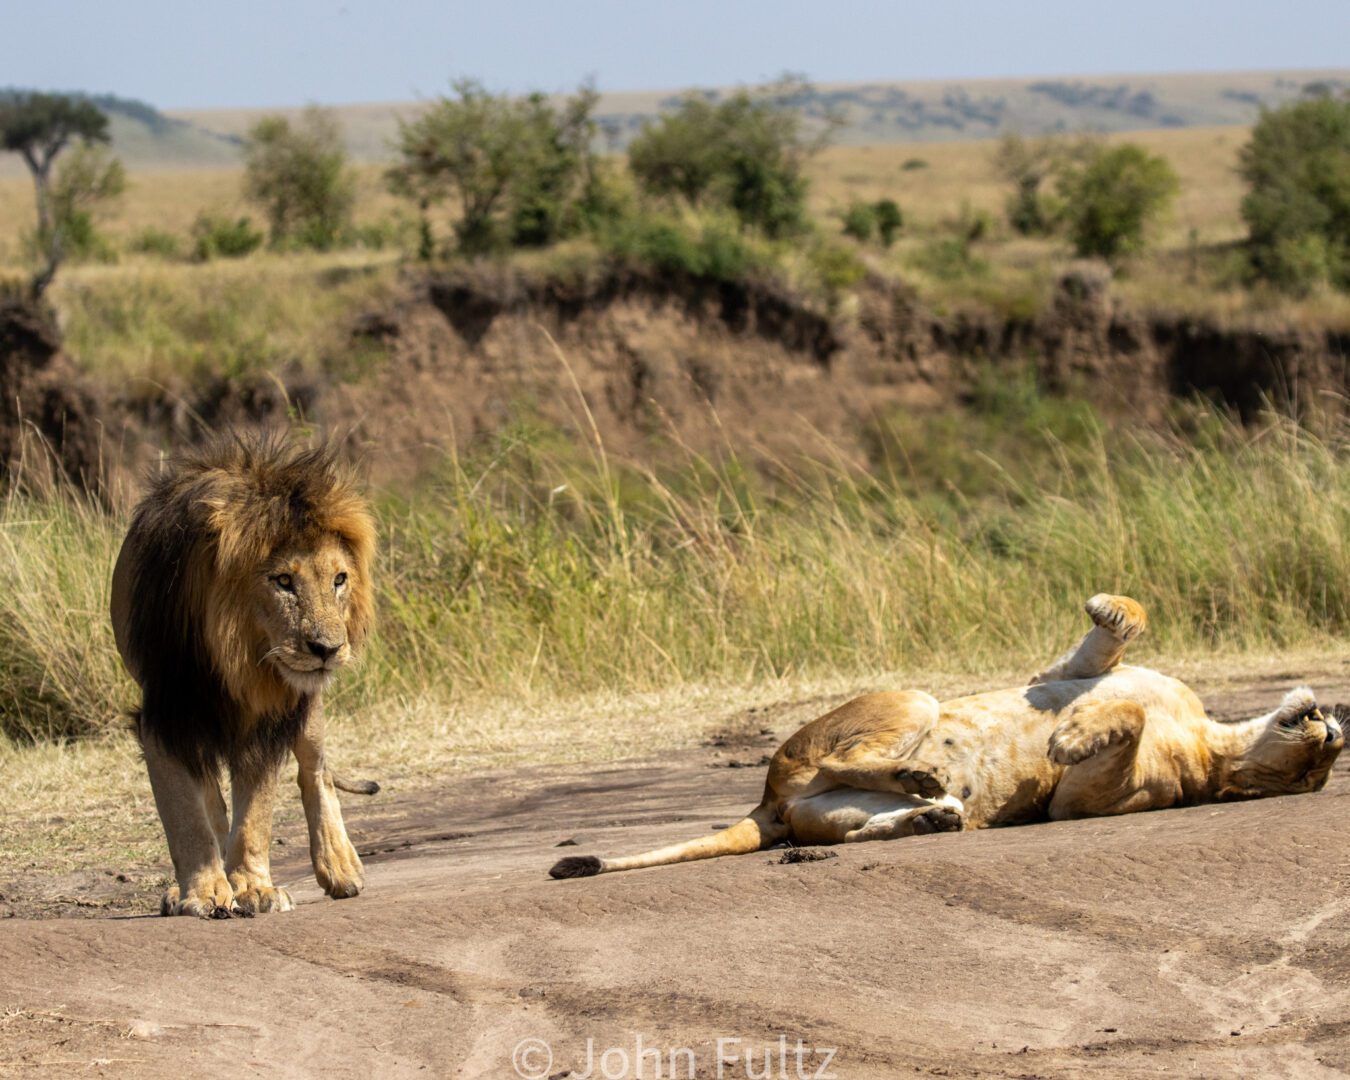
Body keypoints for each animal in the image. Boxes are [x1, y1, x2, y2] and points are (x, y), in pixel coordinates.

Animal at [106, 434, 375, 918]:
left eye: (339, 580)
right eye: (283, 581)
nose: (327, 649)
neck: (236, 660)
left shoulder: (267, 720)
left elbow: (256, 816)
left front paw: (253, 887)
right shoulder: (164, 717)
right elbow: (188, 816)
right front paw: (202, 892)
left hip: (305, 702)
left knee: (316, 770)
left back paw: (340, 867)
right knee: (212, 801)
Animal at [548, 594, 1339, 880]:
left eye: (1316, 767)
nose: (1332, 721)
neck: (1215, 736)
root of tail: (768, 801)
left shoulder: (1080, 802)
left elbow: (1114, 732)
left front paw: (1067, 740)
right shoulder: (1062, 672)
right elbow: (1114, 643)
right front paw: (1110, 610)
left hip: (906, 703)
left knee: (858, 775)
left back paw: (925, 799)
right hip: (861, 754)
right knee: (854, 785)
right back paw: (924, 801)